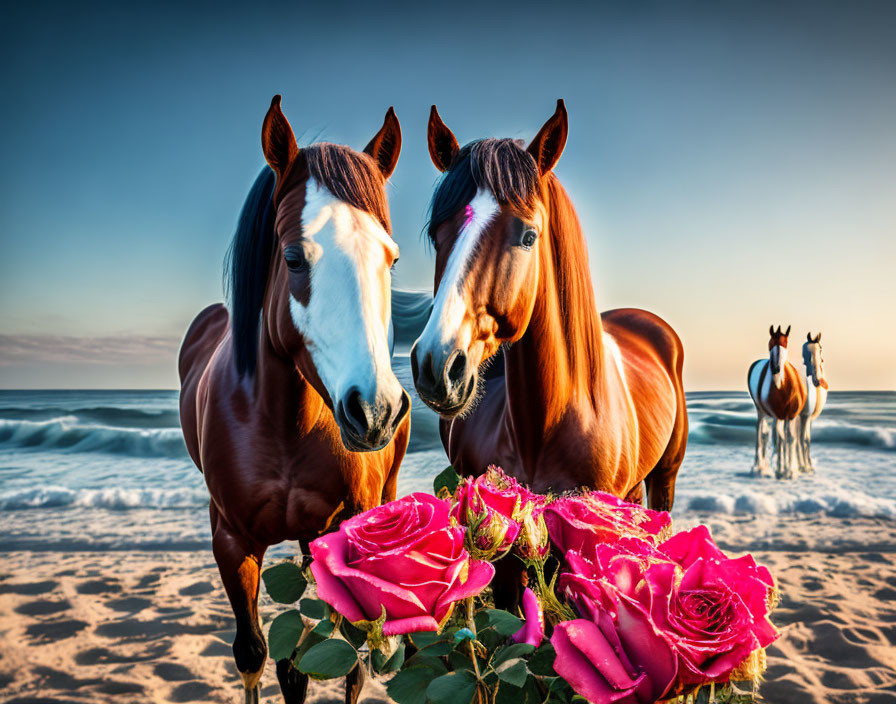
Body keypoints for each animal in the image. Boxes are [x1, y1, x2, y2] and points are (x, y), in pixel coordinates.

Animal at [178, 95, 410, 704]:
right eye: (293, 257)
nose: (375, 411)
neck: (283, 424)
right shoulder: (231, 543)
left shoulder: (346, 530)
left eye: (392, 259)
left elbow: (347, 662)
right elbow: (254, 656)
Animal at [410, 99, 688, 604]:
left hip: (665, 476)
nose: (437, 365)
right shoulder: (503, 546)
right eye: (438, 235)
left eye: (528, 236)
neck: (550, 420)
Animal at [744, 324, 808, 478]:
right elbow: (779, 440)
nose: (775, 368)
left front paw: (789, 470)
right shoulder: (776, 416)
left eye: (785, 343)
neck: (782, 386)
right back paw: (758, 467)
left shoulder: (790, 416)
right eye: (770, 343)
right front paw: (781, 469)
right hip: (762, 412)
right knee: (760, 433)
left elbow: (789, 439)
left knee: (776, 436)